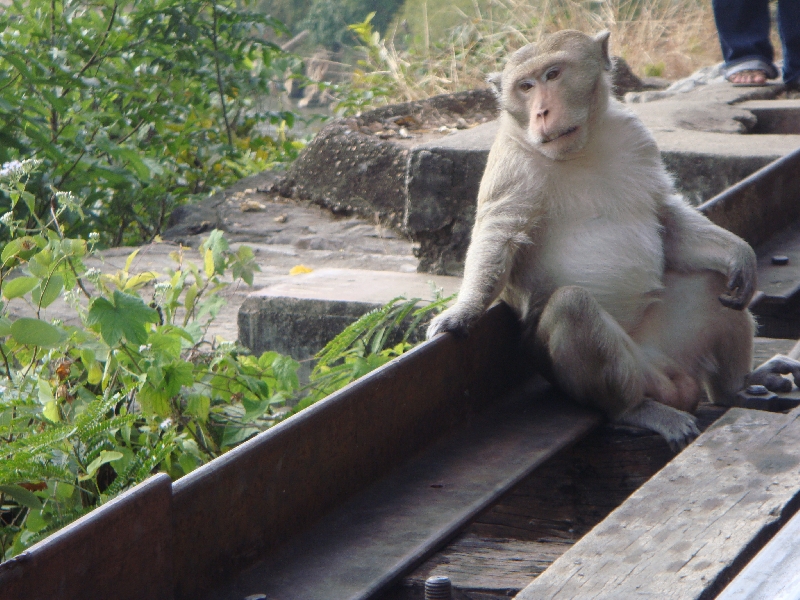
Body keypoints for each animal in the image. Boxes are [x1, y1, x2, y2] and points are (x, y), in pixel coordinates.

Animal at [424, 28, 788, 450]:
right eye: (525, 87)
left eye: (552, 75)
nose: (541, 112)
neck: (580, 148)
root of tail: (670, 376)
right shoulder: (511, 164)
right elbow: (498, 236)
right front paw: (461, 312)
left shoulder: (636, 136)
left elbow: (664, 217)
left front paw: (738, 252)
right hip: (629, 370)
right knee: (574, 307)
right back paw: (635, 410)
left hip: (674, 346)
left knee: (713, 282)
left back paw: (735, 389)